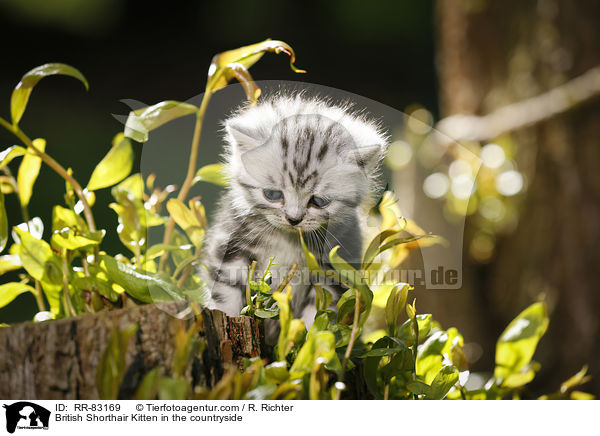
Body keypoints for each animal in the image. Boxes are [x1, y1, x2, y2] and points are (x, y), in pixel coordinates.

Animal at [202, 94, 390, 328]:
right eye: (272, 194)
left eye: (319, 201)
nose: (293, 219)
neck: (288, 241)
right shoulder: (231, 248)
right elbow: (225, 298)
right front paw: (226, 316)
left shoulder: (333, 267)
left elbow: (317, 318)